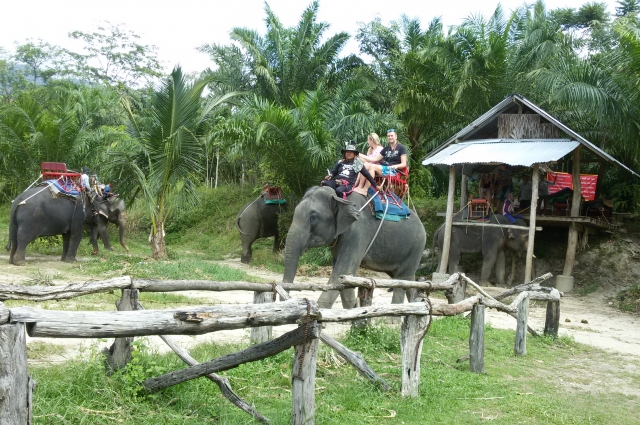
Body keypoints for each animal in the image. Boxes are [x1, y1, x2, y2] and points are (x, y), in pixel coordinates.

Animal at [284, 186, 424, 308]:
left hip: (415, 248)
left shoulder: (357, 233)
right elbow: (345, 276)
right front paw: (353, 308)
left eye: (313, 217)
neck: (340, 198)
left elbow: (342, 271)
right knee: (408, 280)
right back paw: (417, 302)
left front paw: (320, 312)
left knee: (402, 279)